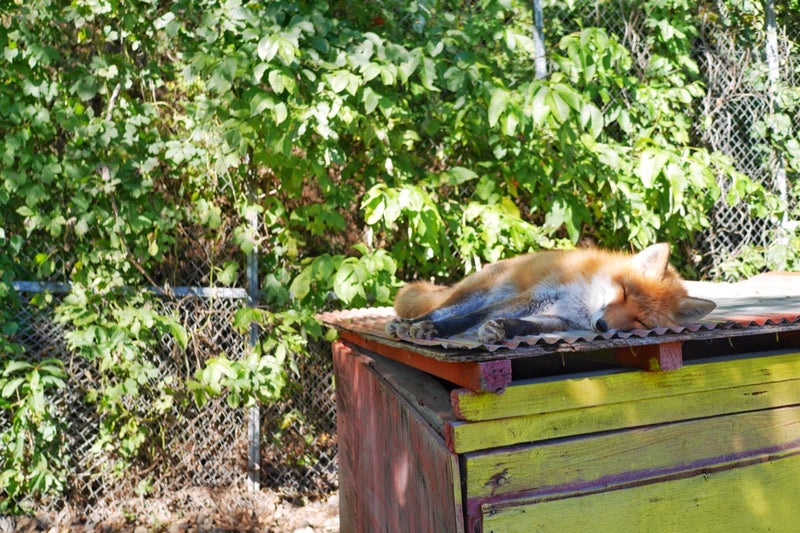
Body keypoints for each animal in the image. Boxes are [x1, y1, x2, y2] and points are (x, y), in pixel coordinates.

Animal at [384, 243, 716, 342]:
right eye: (622, 293)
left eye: (641, 322)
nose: (601, 326)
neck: (583, 305)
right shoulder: (537, 296)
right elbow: (471, 319)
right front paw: (436, 330)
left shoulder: (559, 319)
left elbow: (523, 327)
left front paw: (500, 330)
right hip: (480, 292)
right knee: (443, 311)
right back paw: (412, 324)